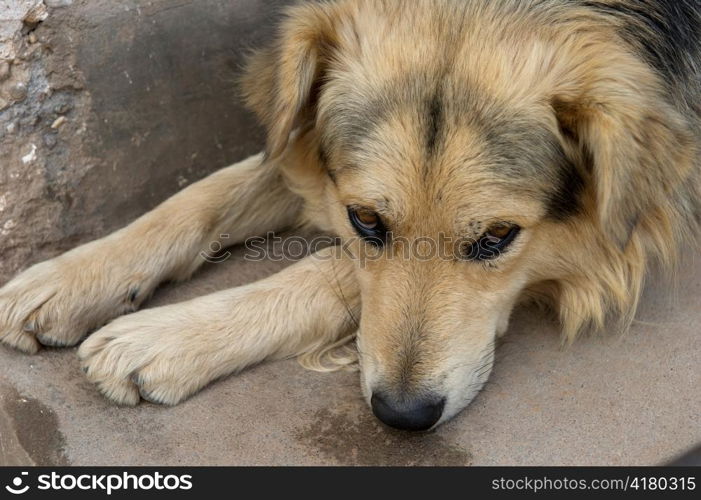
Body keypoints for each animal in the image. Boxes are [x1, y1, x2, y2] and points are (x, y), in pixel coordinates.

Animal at [0, 0, 696, 430]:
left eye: (498, 236)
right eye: (366, 221)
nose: (404, 416)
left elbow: (324, 270)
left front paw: (165, 336)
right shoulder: (309, 157)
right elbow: (205, 194)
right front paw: (69, 277)